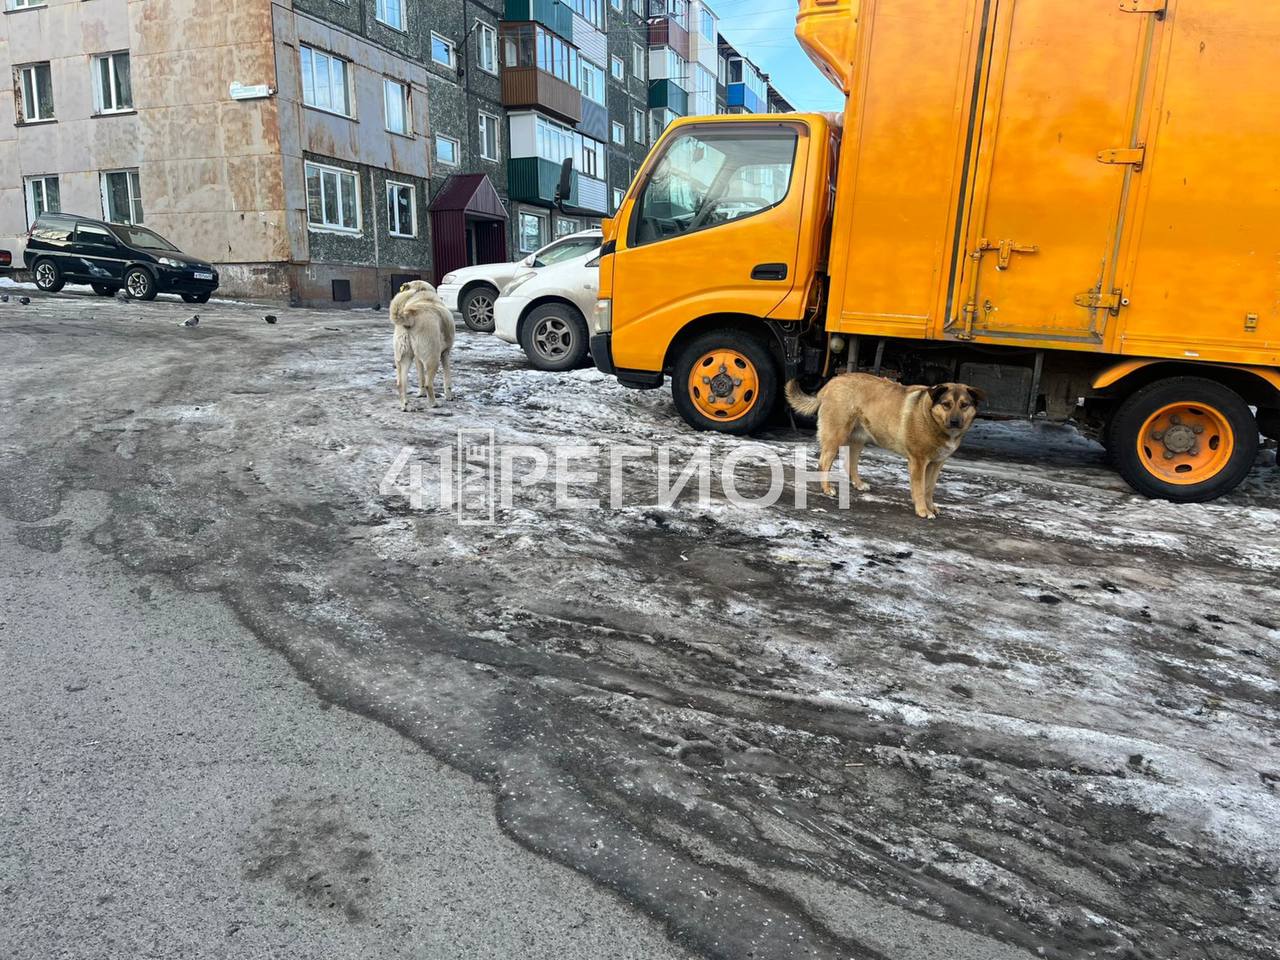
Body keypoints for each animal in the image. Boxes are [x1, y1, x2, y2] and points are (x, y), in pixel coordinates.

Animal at [391, 277, 458, 414]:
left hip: (403, 358)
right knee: (428, 384)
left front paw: (420, 394)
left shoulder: (417, 359)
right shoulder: (445, 353)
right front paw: (449, 396)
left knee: (401, 384)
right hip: (433, 358)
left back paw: (406, 406)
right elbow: (447, 378)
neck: (423, 295)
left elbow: (420, 377)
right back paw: (433, 404)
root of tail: (409, 315)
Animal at [783, 373, 983, 519]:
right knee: (824, 462)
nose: (955, 422)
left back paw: (858, 484)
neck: (931, 418)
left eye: (964, 405)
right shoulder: (918, 462)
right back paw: (827, 489)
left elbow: (929, 489)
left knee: (850, 464)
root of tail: (831, 383)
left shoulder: (936, 464)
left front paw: (931, 507)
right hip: (836, 435)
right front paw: (923, 510)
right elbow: (920, 489)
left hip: (858, 439)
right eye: (946, 404)